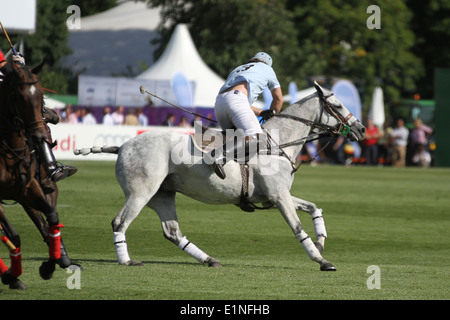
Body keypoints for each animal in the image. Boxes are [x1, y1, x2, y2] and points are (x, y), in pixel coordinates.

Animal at [0, 59, 78, 290]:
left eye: (41, 95)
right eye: (18, 96)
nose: (39, 136)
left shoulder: (27, 188)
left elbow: (50, 218)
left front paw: (50, 266)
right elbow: (14, 236)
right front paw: (11, 275)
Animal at [76, 82, 366, 270]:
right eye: (338, 105)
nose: (362, 129)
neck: (278, 142)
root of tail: (122, 146)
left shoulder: (273, 196)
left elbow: (314, 208)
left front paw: (321, 242)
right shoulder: (278, 196)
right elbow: (297, 228)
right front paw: (322, 260)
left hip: (163, 194)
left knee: (172, 231)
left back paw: (208, 259)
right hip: (141, 192)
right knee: (120, 222)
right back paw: (126, 260)